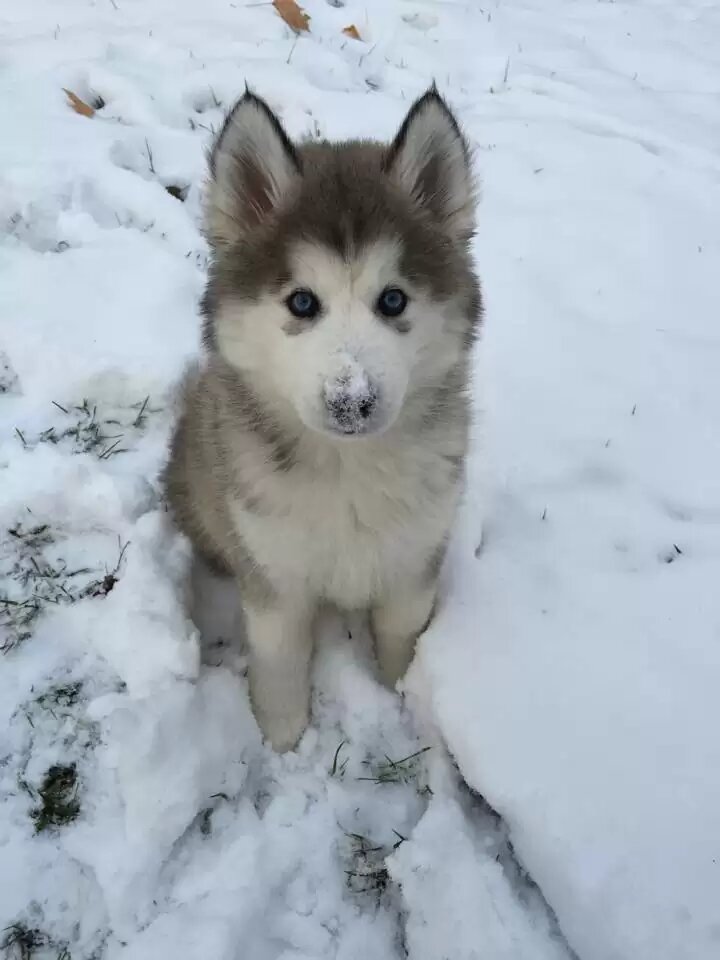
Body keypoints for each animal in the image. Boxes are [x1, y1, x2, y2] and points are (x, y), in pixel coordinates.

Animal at [165, 86, 480, 752]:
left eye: (394, 300)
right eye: (302, 302)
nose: (350, 401)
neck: (348, 468)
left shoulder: (415, 556)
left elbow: (401, 634)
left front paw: (402, 694)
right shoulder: (273, 572)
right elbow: (281, 660)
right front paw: (282, 738)